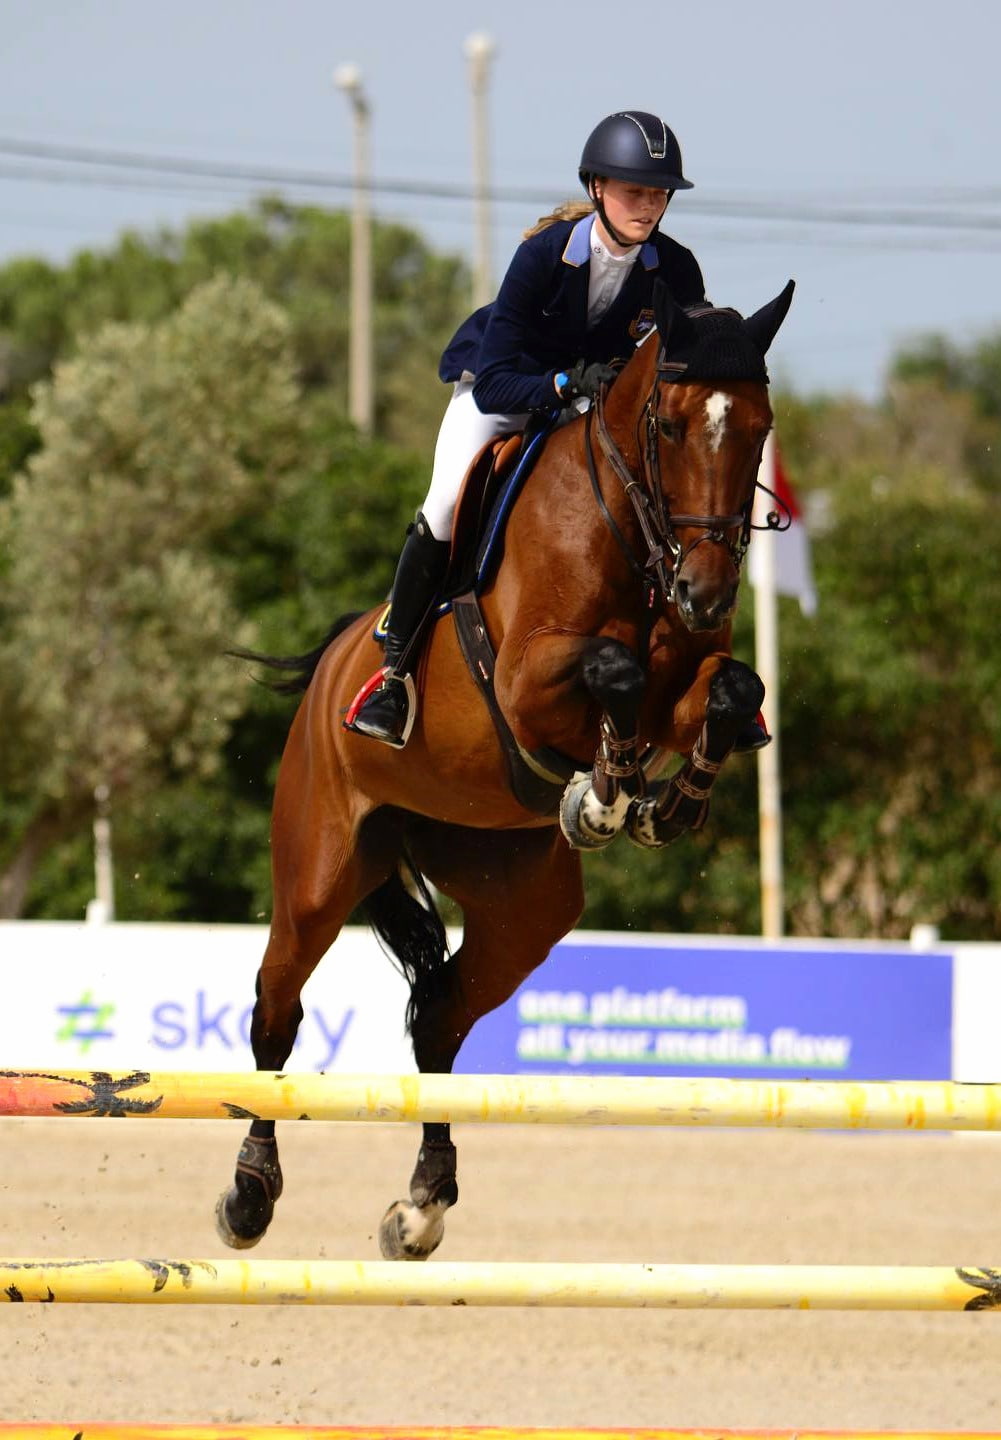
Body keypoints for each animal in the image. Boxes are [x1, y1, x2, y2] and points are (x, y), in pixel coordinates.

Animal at [221, 277, 800, 1261]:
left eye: (757, 427)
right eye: (670, 424)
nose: (706, 593)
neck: (632, 532)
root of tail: (333, 662)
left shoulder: (686, 688)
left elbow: (729, 689)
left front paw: (658, 804)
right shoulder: (528, 684)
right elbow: (614, 670)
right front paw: (604, 799)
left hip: (517, 894)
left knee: (441, 1013)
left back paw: (420, 1205)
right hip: (320, 870)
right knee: (276, 1011)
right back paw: (250, 1194)